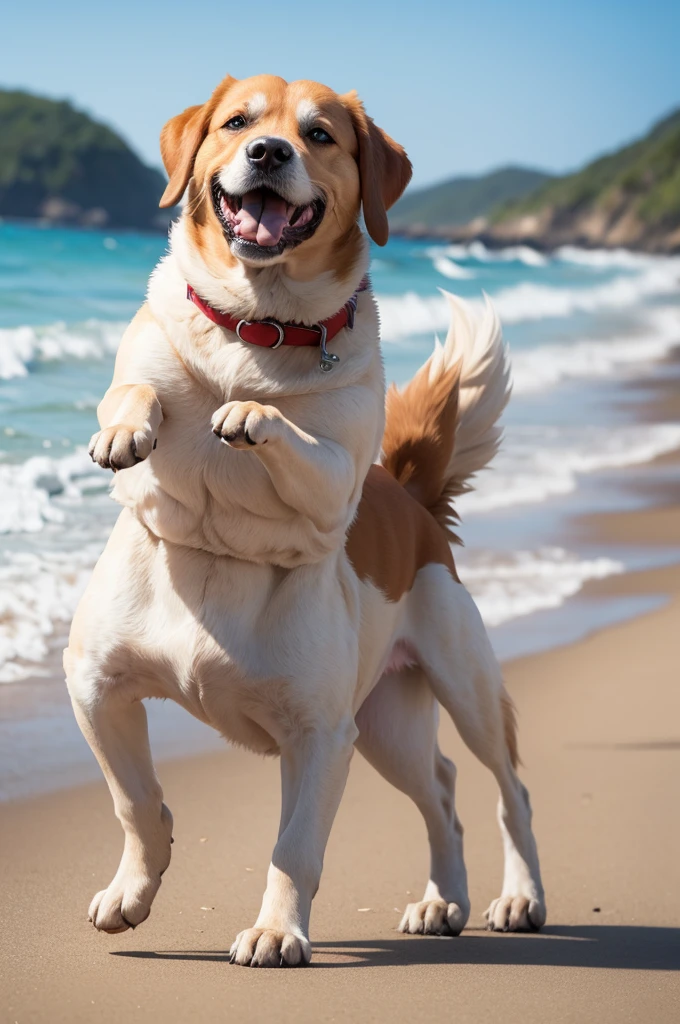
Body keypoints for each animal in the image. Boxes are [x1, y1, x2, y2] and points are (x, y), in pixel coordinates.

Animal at [62, 72, 540, 966]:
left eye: (318, 134)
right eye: (237, 122)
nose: (268, 152)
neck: (258, 319)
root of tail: (413, 498)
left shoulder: (318, 736)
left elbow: (295, 847)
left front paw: (277, 931)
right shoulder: (98, 689)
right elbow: (137, 803)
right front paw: (134, 892)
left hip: (455, 689)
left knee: (506, 788)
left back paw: (520, 896)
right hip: (384, 724)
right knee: (443, 791)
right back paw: (442, 900)